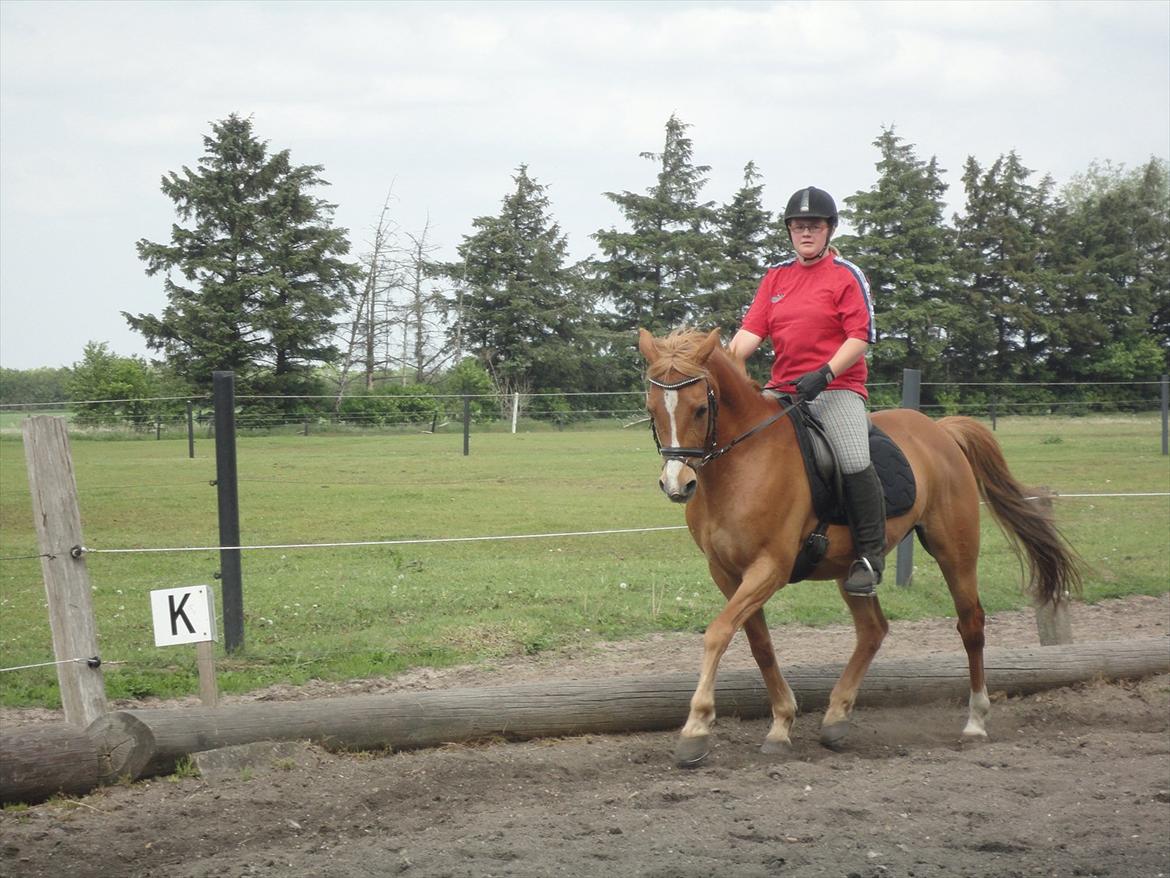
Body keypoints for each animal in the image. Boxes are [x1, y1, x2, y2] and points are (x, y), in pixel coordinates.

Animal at [636, 327, 1081, 767]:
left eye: (699, 409)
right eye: (652, 408)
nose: (677, 485)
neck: (740, 465)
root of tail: (940, 431)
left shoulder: (770, 567)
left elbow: (717, 633)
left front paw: (695, 729)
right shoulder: (726, 573)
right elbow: (758, 643)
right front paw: (780, 725)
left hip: (954, 550)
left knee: (970, 624)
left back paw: (975, 720)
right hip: (850, 566)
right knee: (873, 629)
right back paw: (836, 716)